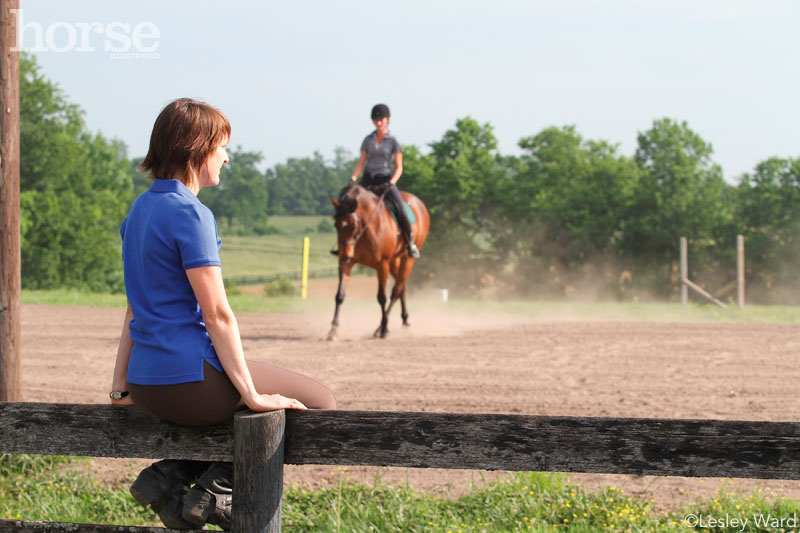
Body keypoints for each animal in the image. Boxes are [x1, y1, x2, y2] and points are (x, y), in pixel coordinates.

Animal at [326, 183, 432, 340]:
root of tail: (418, 202)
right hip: (394, 261)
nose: (346, 253)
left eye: (353, 225)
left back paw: (381, 328)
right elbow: (340, 295)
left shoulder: (382, 265)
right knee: (402, 287)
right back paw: (405, 320)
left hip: (407, 260)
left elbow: (382, 297)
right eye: (336, 225)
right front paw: (333, 331)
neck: (364, 231)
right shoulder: (346, 264)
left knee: (396, 291)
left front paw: (383, 330)